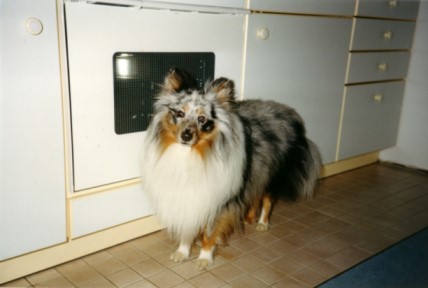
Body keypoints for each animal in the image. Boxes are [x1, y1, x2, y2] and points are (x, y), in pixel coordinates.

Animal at [140, 68, 320, 270]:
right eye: (179, 113)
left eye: (202, 119)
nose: (186, 136)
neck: (192, 155)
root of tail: (286, 111)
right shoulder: (187, 199)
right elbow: (188, 227)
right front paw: (182, 252)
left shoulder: (218, 201)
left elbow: (209, 233)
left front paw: (204, 258)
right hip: (254, 172)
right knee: (254, 196)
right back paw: (248, 217)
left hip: (271, 174)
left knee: (267, 200)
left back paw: (262, 224)